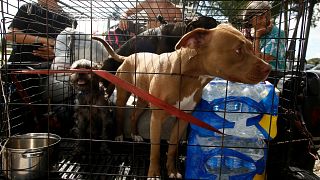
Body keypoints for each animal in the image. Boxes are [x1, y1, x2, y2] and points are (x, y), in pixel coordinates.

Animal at [94, 22, 272, 179]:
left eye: (250, 46)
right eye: (238, 50)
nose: (268, 68)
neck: (189, 76)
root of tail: (129, 56)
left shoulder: (183, 119)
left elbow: (172, 147)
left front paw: (172, 171)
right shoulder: (156, 119)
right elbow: (155, 149)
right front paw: (154, 173)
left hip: (144, 99)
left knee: (134, 115)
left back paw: (135, 134)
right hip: (122, 95)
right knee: (119, 114)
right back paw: (119, 135)